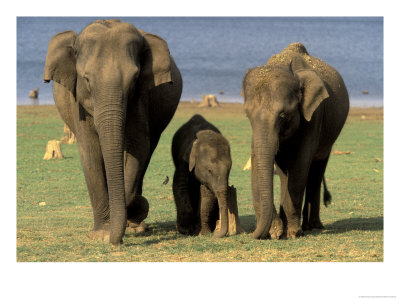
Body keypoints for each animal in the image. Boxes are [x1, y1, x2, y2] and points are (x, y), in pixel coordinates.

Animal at [42, 18, 183, 245]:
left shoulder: (140, 99)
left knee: (148, 149)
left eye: (134, 79)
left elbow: (138, 146)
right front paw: (100, 235)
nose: (114, 239)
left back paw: (136, 226)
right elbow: (90, 151)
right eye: (86, 79)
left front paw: (134, 212)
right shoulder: (77, 104)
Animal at [242, 41, 348, 239]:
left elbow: (300, 164)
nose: (255, 234)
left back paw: (311, 227)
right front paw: (277, 231)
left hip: (328, 139)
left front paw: (293, 233)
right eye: (247, 114)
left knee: (316, 170)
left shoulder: (314, 115)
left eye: (283, 115)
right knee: (285, 172)